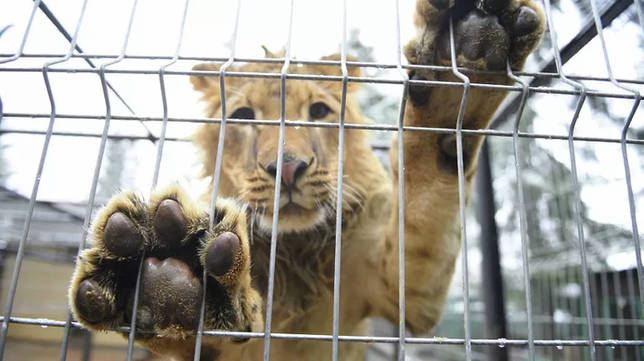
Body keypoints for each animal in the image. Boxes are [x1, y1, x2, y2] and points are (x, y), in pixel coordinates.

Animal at [69, 1, 544, 358]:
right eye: (244, 116)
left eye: (318, 111)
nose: (289, 168)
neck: (295, 254)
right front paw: (170, 285)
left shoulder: (403, 289)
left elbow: (427, 177)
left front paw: (462, 56)